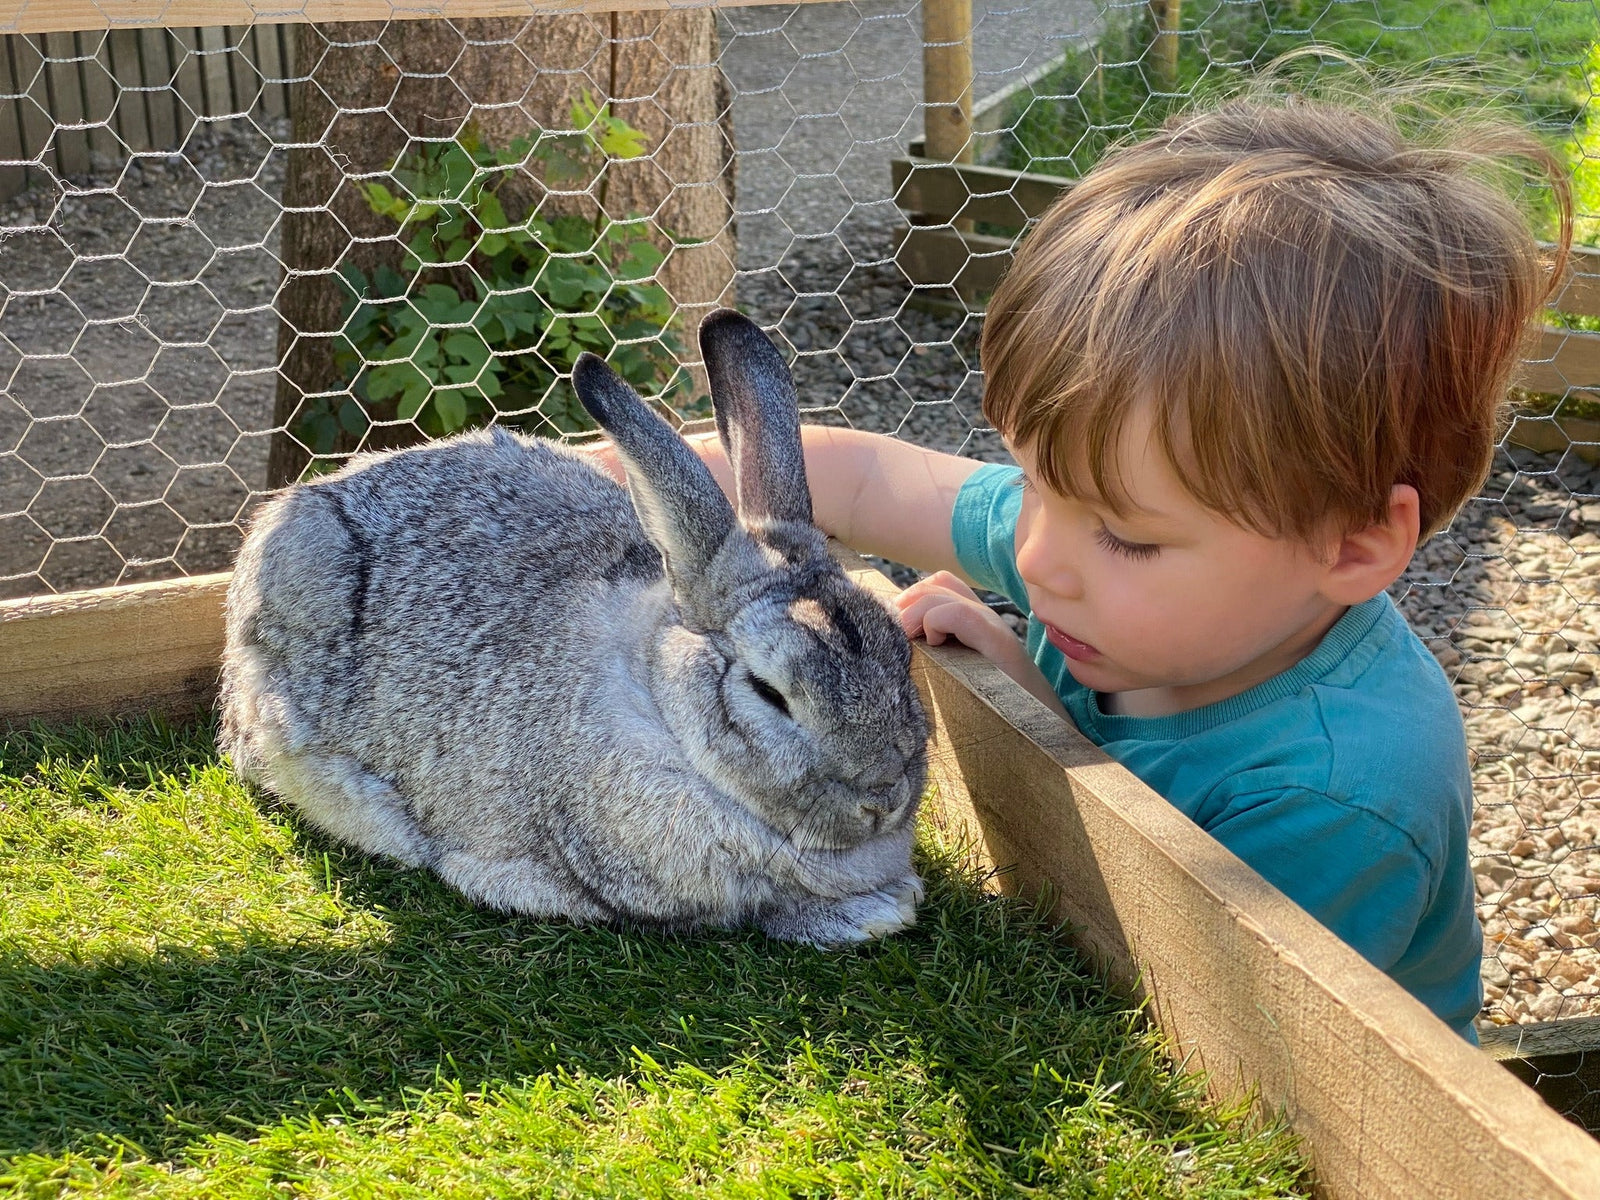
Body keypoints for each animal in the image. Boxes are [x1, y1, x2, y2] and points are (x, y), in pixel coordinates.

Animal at [219, 310, 934, 947]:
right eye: (769, 692)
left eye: (901, 654)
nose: (883, 798)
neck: (659, 703)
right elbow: (760, 913)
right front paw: (878, 911)